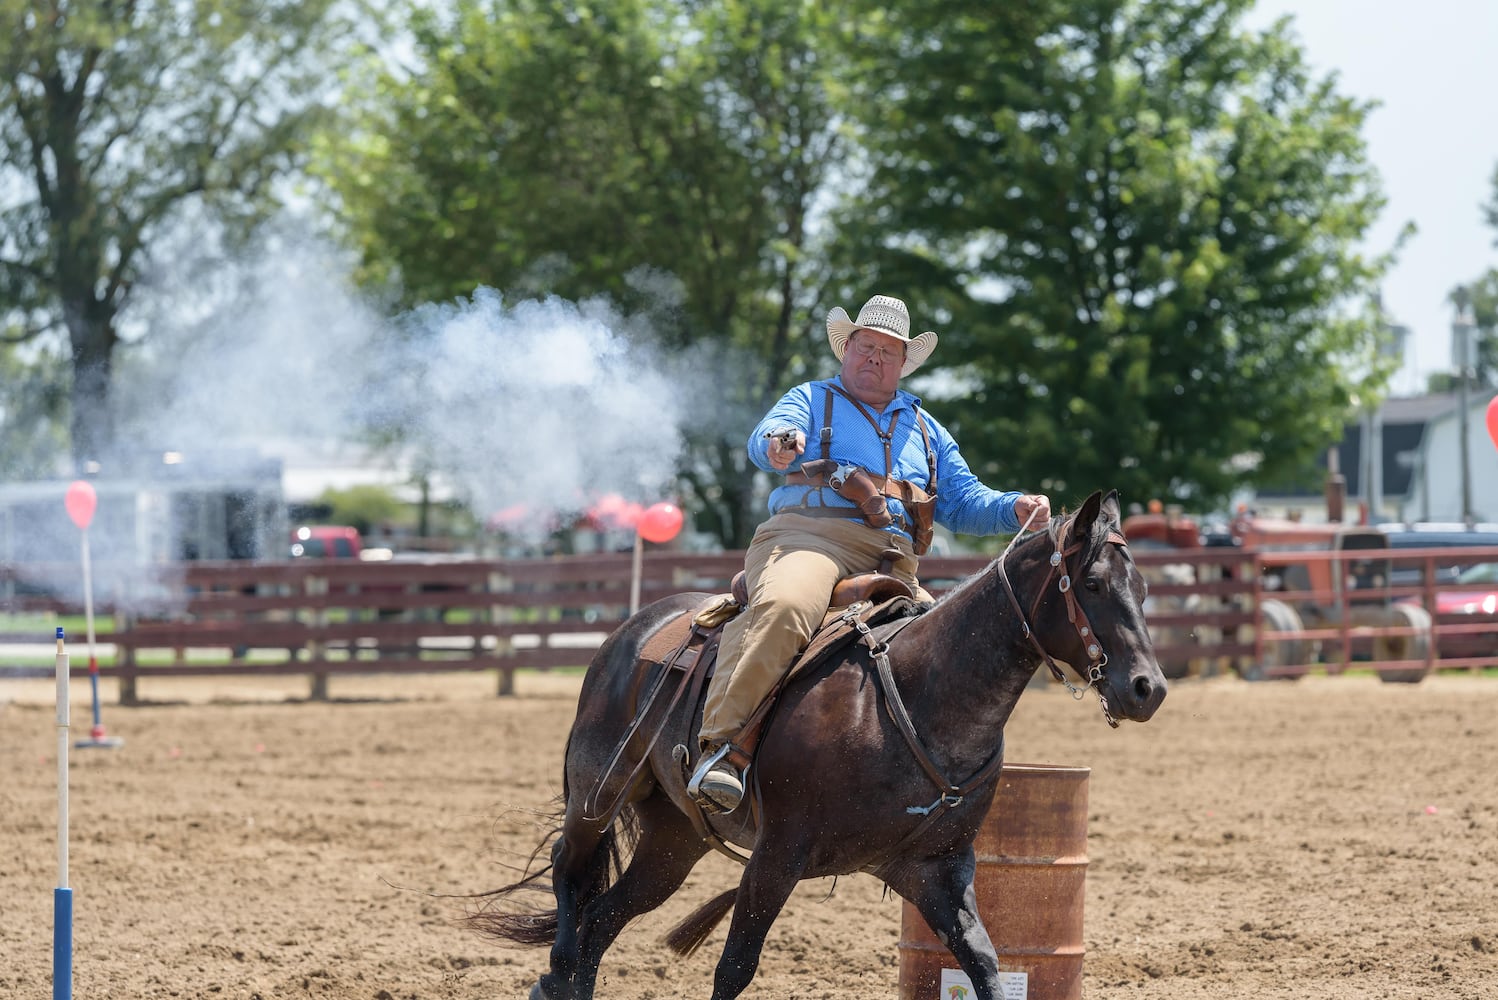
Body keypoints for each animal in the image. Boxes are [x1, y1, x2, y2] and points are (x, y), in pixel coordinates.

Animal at [479, 491, 1168, 999]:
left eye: (1144, 589)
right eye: (1094, 584)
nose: (1148, 688)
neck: (916, 699)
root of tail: (631, 631)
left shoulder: (936, 870)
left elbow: (986, 963)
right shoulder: (777, 856)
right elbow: (735, 967)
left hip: (673, 841)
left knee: (603, 919)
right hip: (595, 793)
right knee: (571, 877)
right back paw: (556, 971)